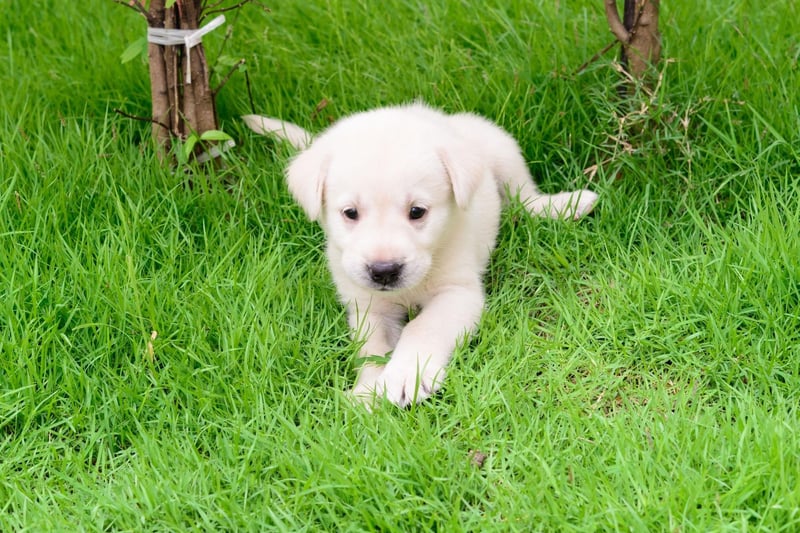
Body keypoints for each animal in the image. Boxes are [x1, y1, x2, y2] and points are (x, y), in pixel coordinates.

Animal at [244, 102, 600, 406]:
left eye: (417, 212)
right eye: (350, 213)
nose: (384, 270)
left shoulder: (457, 292)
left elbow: (422, 328)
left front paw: (406, 376)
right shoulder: (368, 305)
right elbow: (370, 348)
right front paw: (367, 392)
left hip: (502, 148)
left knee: (524, 197)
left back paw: (565, 205)